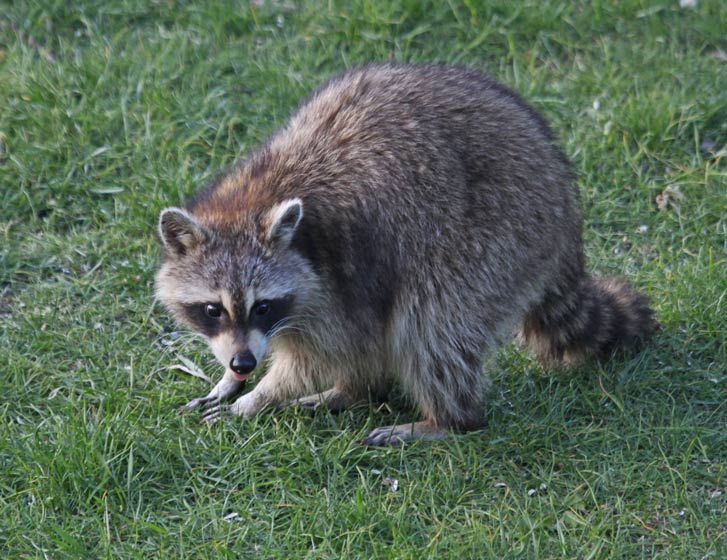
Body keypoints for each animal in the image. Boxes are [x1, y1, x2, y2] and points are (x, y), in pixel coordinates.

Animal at [155, 63, 656, 445]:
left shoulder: (336, 280)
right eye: (213, 310)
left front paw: (256, 397)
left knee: (432, 323)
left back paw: (445, 419)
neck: (253, 197)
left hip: (499, 233)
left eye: (262, 306)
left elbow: (318, 355)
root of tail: (565, 198)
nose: (243, 365)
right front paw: (230, 380)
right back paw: (353, 390)